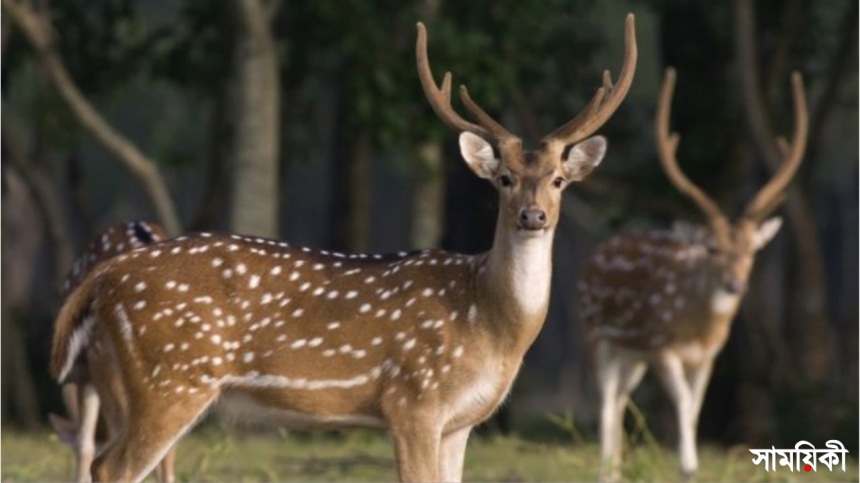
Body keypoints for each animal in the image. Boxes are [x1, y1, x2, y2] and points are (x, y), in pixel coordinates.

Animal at [580, 69, 808, 483]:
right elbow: (684, 402)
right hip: (595, 333)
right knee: (605, 403)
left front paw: (690, 464)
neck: (697, 330)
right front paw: (688, 465)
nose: (734, 284)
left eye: (752, 251)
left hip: (632, 354)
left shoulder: (707, 358)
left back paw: (617, 470)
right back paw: (605, 471)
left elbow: (697, 406)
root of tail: (597, 252)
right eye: (712, 249)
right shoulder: (664, 347)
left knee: (620, 399)